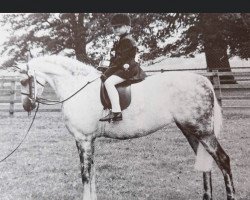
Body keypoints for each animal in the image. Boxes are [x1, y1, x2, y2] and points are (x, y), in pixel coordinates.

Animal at [19, 55, 236, 200]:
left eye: (23, 80)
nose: (26, 106)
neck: (77, 87)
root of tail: (204, 80)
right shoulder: (89, 141)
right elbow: (93, 172)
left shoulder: (83, 139)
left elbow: (86, 174)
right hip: (190, 131)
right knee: (205, 163)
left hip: (203, 132)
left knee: (223, 160)